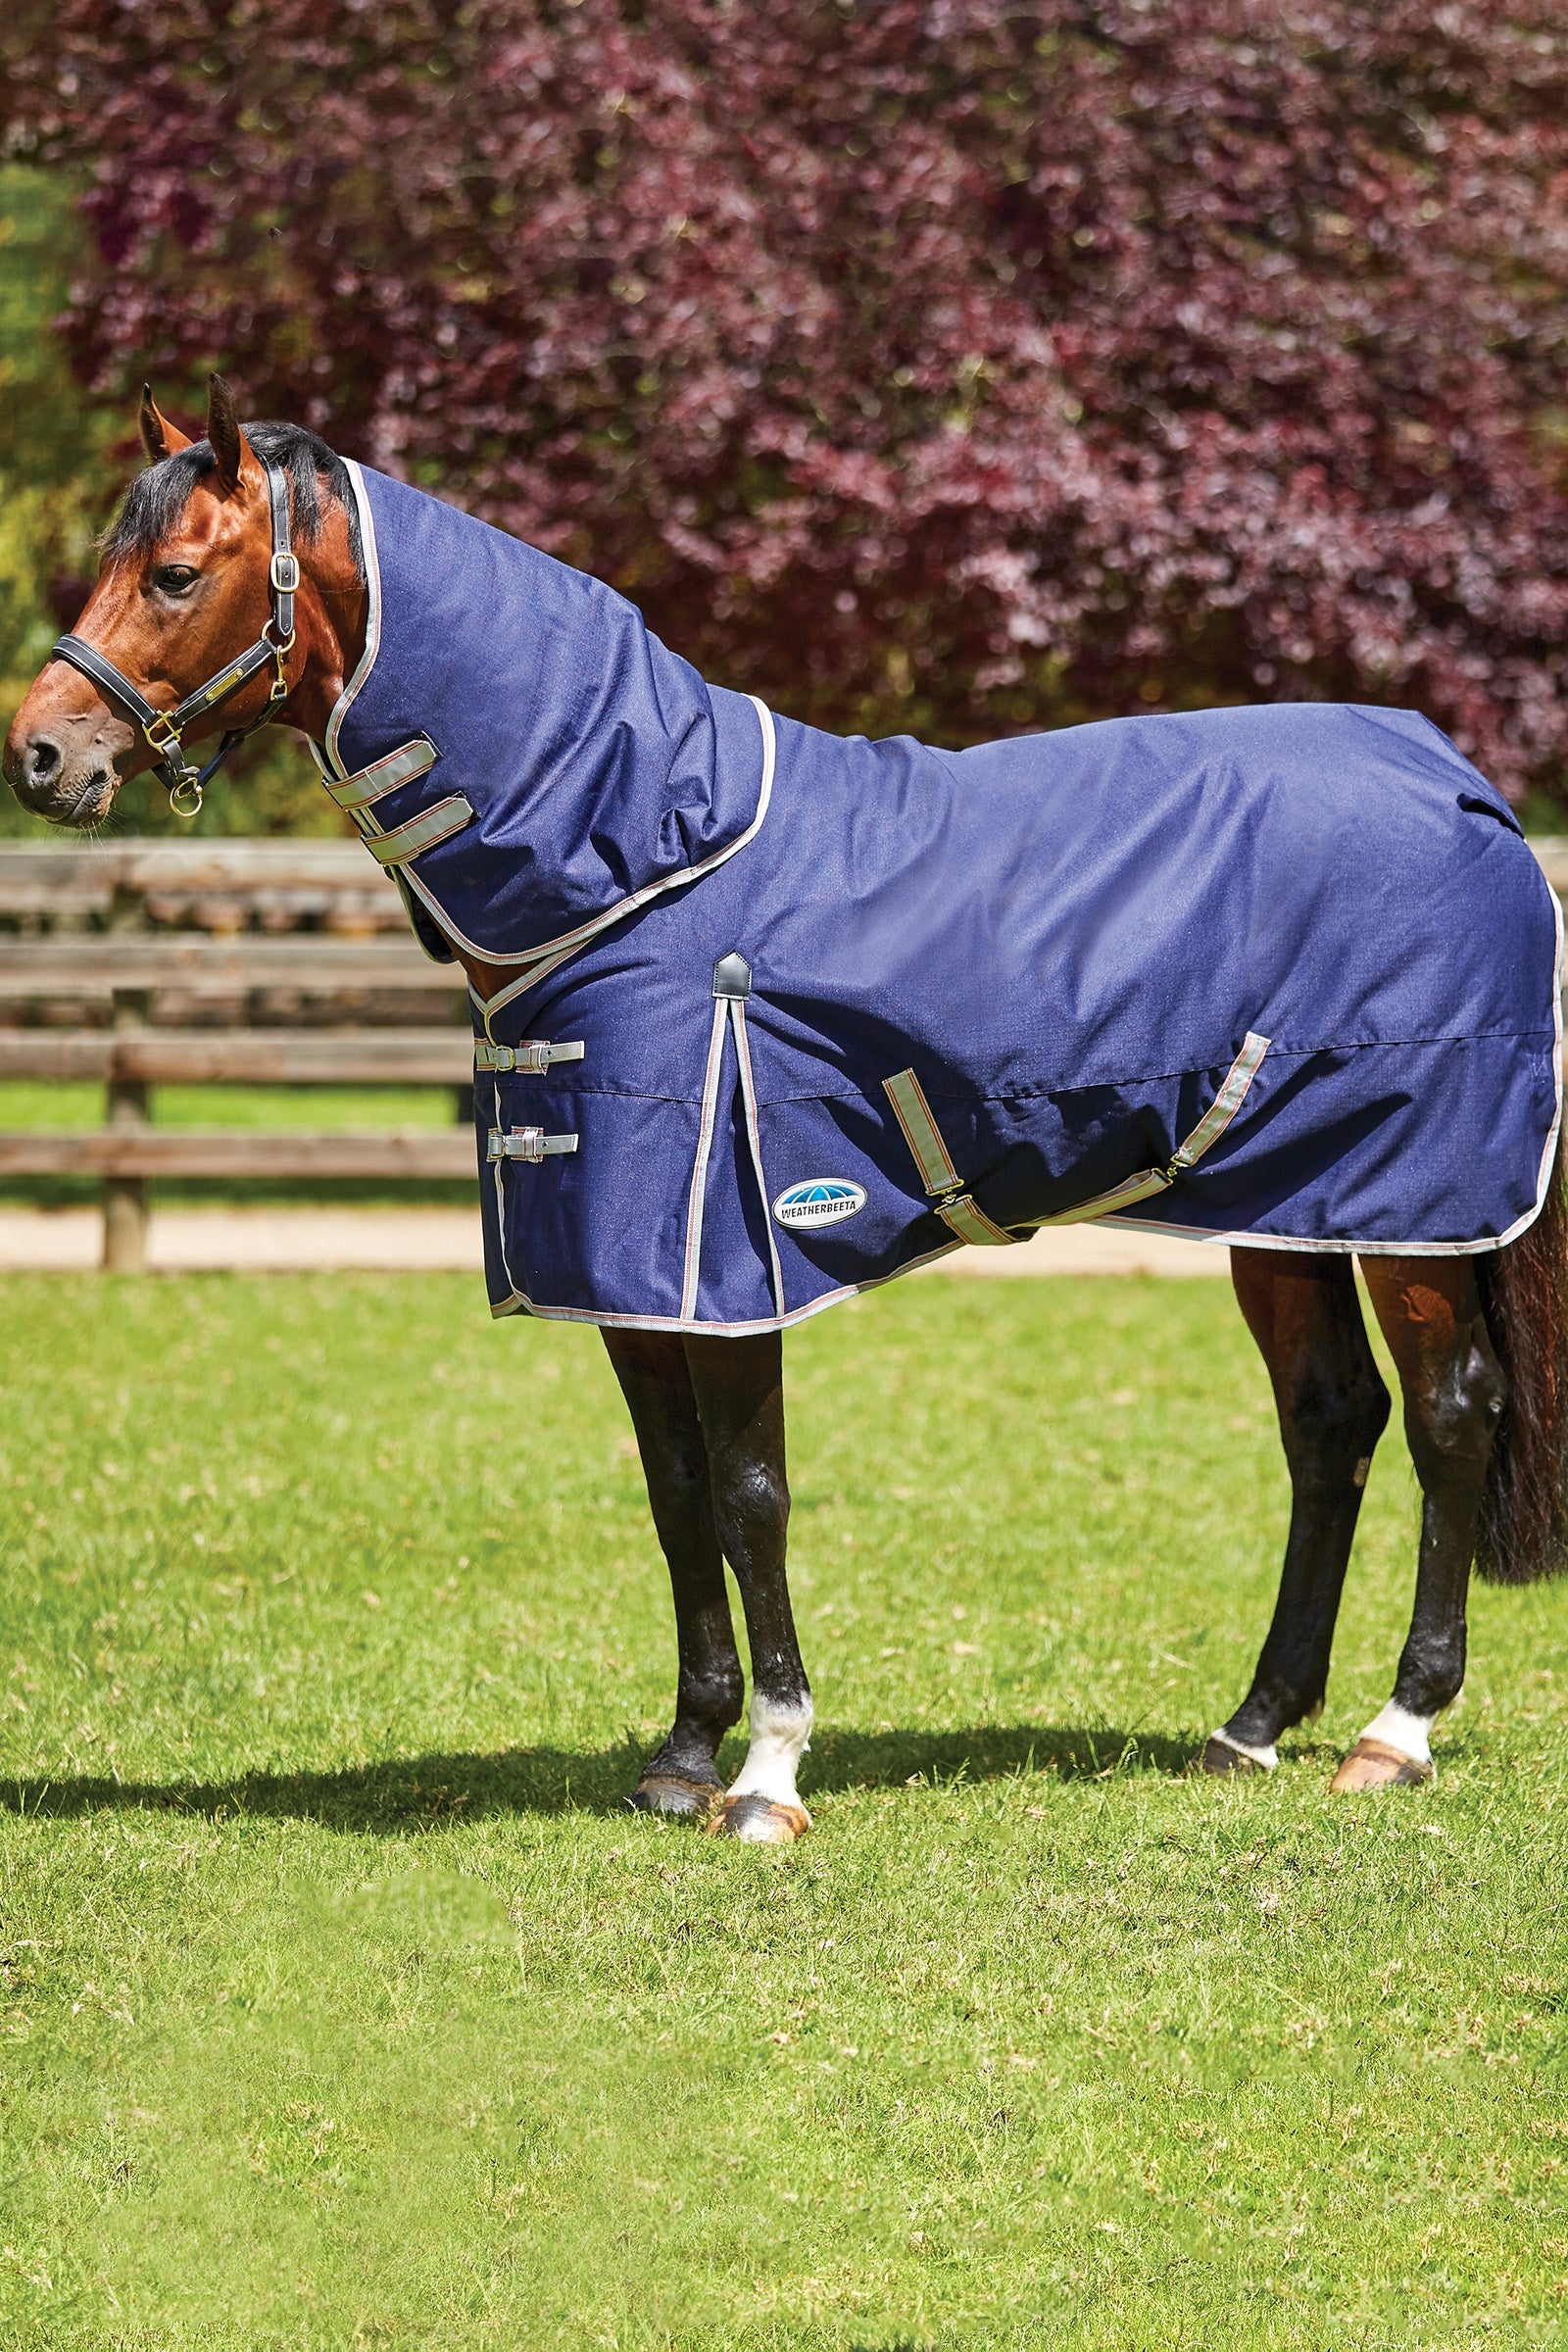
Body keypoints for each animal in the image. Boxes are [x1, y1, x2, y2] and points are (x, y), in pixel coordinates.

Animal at [6, 377, 1566, 1843]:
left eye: (173, 575)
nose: (39, 755)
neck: (646, 859)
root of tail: (1462, 784)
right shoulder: (626, 1273)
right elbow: (676, 1494)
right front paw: (681, 1759)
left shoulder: (729, 1254)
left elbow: (753, 1497)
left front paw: (768, 1775)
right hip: (1290, 1204)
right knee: (1329, 1421)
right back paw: (1249, 1727)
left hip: (1420, 1208)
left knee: (1450, 1417)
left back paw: (1393, 1733)